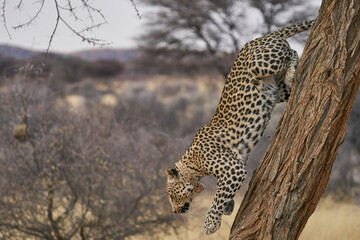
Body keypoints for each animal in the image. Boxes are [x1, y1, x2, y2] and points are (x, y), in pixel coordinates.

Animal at [165, 20, 316, 234]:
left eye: (171, 195)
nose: (175, 211)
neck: (193, 166)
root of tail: (260, 37)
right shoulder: (238, 164)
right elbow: (223, 193)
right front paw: (228, 207)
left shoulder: (233, 170)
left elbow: (216, 199)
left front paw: (209, 225)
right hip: (277, 91)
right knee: (286, 78)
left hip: (260, 64)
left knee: (292, 51)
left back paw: (292, 70)